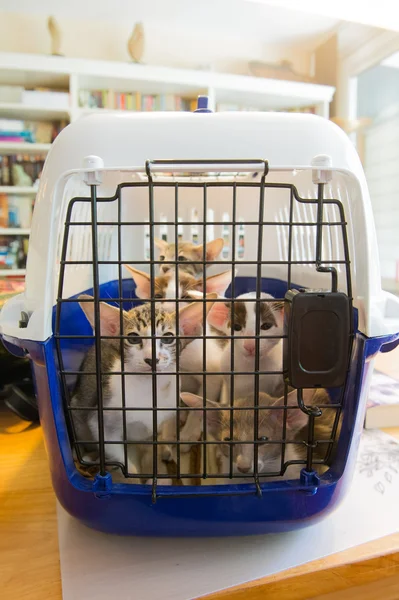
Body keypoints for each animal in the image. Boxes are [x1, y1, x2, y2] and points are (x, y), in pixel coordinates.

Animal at [71, 294, 216, 474]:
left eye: (168, 338)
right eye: (133, 338)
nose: (152, 358)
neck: (149, 388)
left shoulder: (169, 408)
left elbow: (164, 432)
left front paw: (164, 448)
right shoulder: (101, 422)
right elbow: (122, 458)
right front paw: (131, 473)